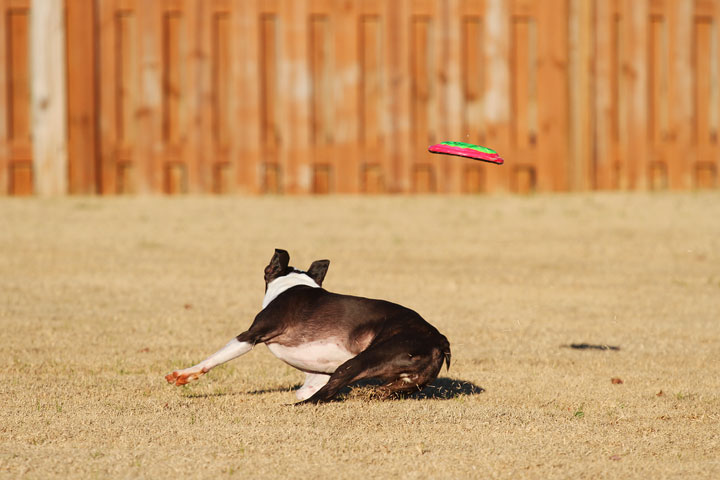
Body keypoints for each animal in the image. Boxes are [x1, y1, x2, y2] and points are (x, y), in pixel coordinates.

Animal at [166, 249, 452, 404]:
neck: (291, 284)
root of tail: (438, 338)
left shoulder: (251, 334)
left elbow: (214, 358)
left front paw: (184, 374)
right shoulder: (319, 372)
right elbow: (307, 387)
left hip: (361, 360)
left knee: (322, 397)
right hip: (401, 381)